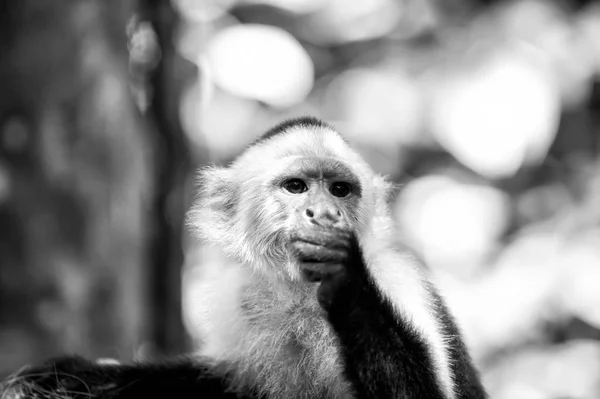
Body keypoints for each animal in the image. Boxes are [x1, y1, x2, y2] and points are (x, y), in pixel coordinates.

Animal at [0, 117, 488, 398]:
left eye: (340, 190)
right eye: (296, 187)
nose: (324, 214)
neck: (298, 298)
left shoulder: (395, 279)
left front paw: (345, 276)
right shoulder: (242, 301)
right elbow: (219, 381)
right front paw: (73, 376)